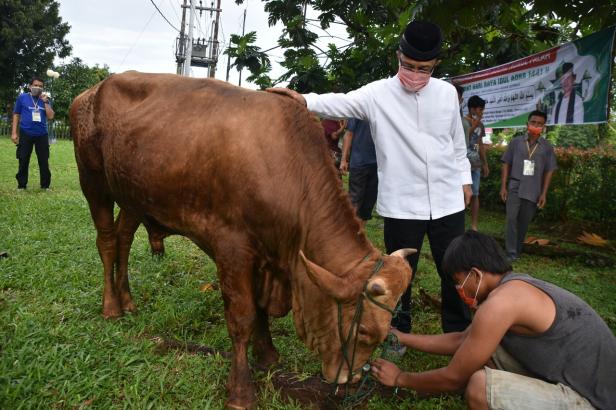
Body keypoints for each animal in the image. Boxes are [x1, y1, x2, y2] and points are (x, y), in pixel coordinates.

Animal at [71, 72, 414, 408]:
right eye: (365, 331)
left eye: (386, 332)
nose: (350, 379)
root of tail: (92, 90)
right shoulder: (232, 248)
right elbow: (241, 317)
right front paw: (240, 392)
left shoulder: (265, 256)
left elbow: (260, 309)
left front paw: (268, 356)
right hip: (93, 182)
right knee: (107, 242)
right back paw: (111, 307)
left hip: (133, 196)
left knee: (124, 239)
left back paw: (128, 300)